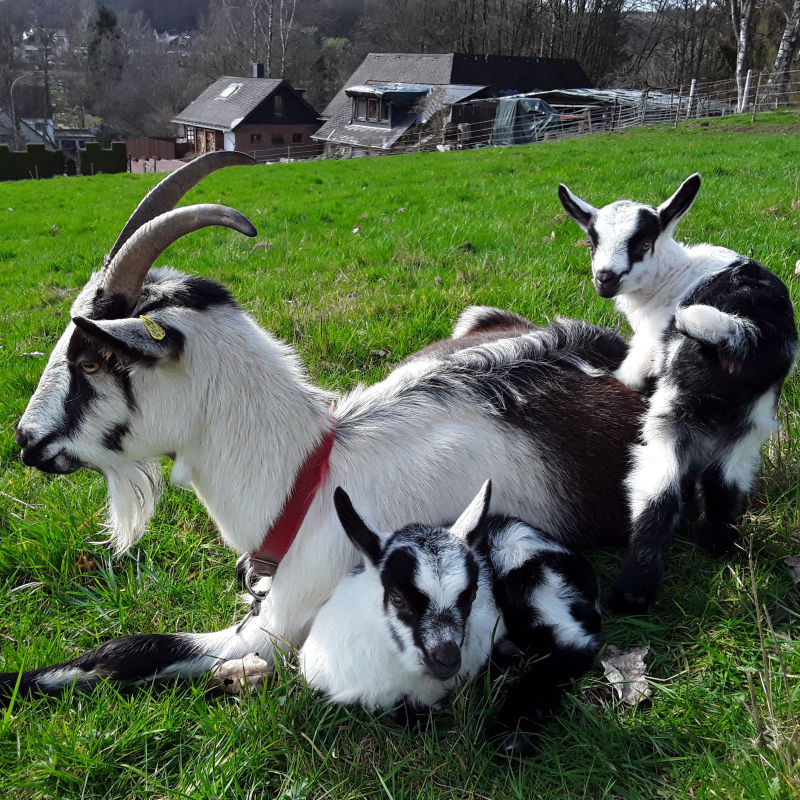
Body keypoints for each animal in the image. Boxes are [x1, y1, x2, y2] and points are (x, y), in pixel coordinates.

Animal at [1, 153, 644, 696]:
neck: (307, 475)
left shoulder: (274, 628)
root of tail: (612, 347)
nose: (26, 441)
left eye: (91, 359)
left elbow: (131, 648)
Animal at [300, 482, 600, 752]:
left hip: (530, 573)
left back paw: (512, 735)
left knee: (575, 644)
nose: (447, 659)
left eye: (472, 594)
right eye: (397, 598)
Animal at [560, 177, 796, 612]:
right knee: (724, 479)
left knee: (660, 492)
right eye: (591, 240)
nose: (605, 278)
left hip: (673, 408)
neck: (671, 275)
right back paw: (715, 544)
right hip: (752, 420)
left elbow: (628, 375)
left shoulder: (646, 350)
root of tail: (743, 332)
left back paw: (633, 592)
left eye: (642, 242)